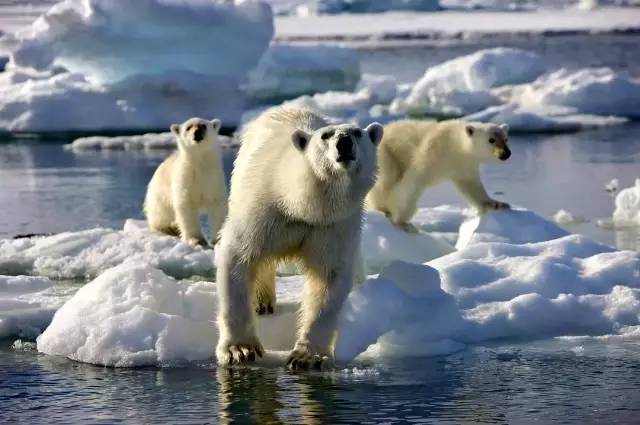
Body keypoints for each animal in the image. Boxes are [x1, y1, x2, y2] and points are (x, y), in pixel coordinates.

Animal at [144, 117, 228, 247]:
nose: (197, 132)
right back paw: (170, 228)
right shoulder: (185, 181)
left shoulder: (213, 180)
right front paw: (196, 239)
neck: (200, 166)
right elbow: (186, 208)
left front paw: (218, 239)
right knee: (160, 214)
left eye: (203, 125)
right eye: (188, 127)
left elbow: (217, 207)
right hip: (159, 194)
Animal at [218, 106, 382, 368]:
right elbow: (238, 257)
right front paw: (239, 350)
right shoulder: (262, 211)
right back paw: (262, 302)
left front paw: (307, 356)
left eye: (357, 132)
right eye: (326, 136)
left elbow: (328, 278)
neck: (300, 206)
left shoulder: (333, 226)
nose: (344, 142)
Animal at [368, 119, 512, 232]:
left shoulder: (465, 164)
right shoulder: (432, 152)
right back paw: (382, 208)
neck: (454, 145)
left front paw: (497, 204)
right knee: (388, 179)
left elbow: (472, 186)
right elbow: (412, 183)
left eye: (506, 139)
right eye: (491, 140)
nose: (506, 153)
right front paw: (402, 222)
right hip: (385, 154)